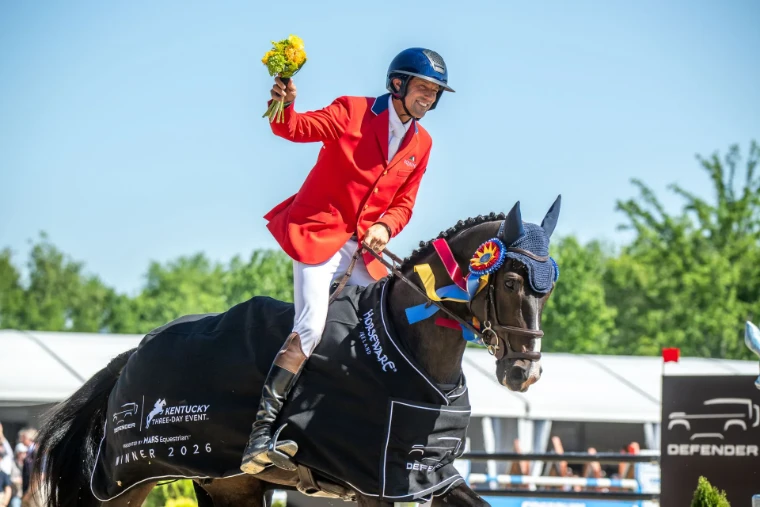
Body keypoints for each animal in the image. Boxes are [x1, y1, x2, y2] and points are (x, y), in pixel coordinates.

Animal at [31, 197, 561, 507]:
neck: (407, 349)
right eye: (510, 282)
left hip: (229, 486)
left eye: (549, 288)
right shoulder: (377, 483)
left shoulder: (427, 476)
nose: (524, 374)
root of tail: (130, 357)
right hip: (122, 483)